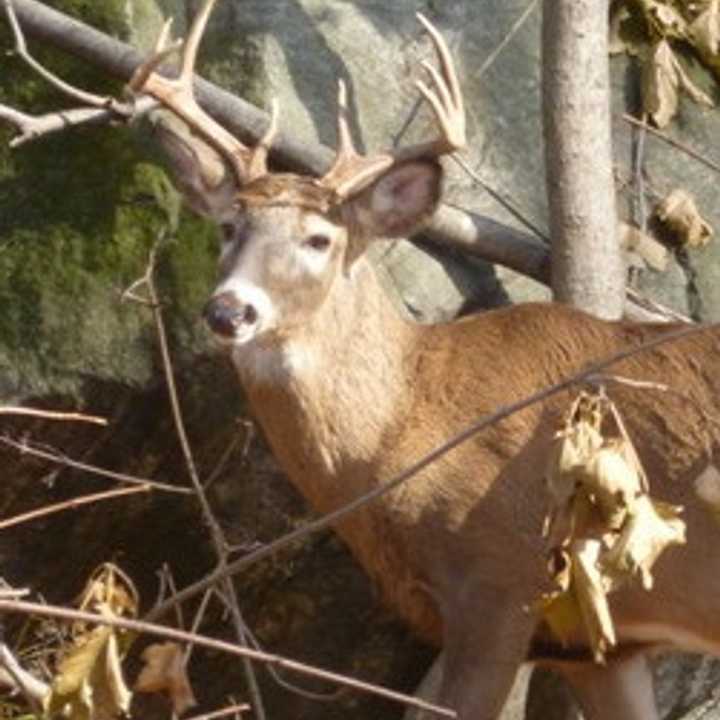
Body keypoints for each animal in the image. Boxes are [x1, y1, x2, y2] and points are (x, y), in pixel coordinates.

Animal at [126, 1, 720, 720]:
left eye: (320, 238)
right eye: (228, 228)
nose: (229, 311)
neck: (410, 424)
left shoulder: (503, 581)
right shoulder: (595, 642)